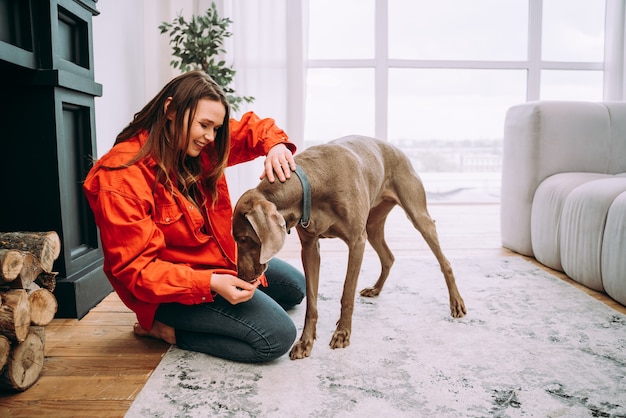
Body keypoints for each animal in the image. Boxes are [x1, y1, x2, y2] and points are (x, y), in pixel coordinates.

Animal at [232, 135, 466, 360]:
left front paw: (342, 334)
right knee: (388, 257)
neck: (315, 183)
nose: (241, 277)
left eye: (243, 239)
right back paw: (375, 289)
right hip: (373, 224)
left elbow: (347, 294)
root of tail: (397, 149)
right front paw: (305, 342)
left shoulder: (356, 242)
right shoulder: (310, 247)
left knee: (444, 261)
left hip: (417, 215)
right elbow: (312, 302)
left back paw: (456, 303)